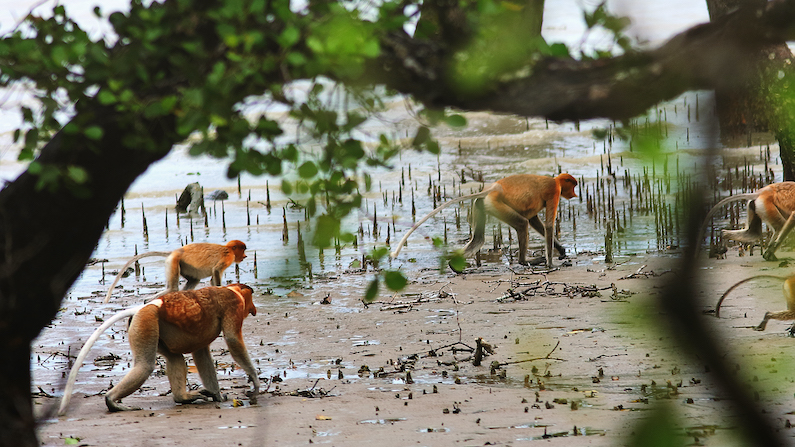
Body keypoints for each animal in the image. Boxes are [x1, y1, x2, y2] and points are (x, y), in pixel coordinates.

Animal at [58, 284, 259, 415]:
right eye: (250, 297)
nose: (254, 309)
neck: (232, 289)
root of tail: (145, 307)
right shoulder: (233, 305)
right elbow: (233, 340)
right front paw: (255, 383)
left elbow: (201, 353)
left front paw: (217, 396)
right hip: (147, 321)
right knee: (145, 366)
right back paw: (112, 401)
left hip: (155, 328)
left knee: (174, 359)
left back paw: (183, 397)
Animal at [104, 240, 247, 303]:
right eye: (243, 249)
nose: (245, 256)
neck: (228, 248)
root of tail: (176, 251)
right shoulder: (228, 257)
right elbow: (216, 271)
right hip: (173, 262)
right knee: (173, 288)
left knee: (194, 279)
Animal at [390, 173, 578, 269]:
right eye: (574, 185)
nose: (575, 193)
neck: (555, 180)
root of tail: (493, 188)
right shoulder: (554, 191)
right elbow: (547, 225)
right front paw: (552, 264)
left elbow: (534, 220)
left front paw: (561, 249)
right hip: (496, 204)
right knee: (522, 224)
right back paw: (525, 261)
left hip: (481, 204)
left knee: (478, 238)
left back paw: (454, 264)